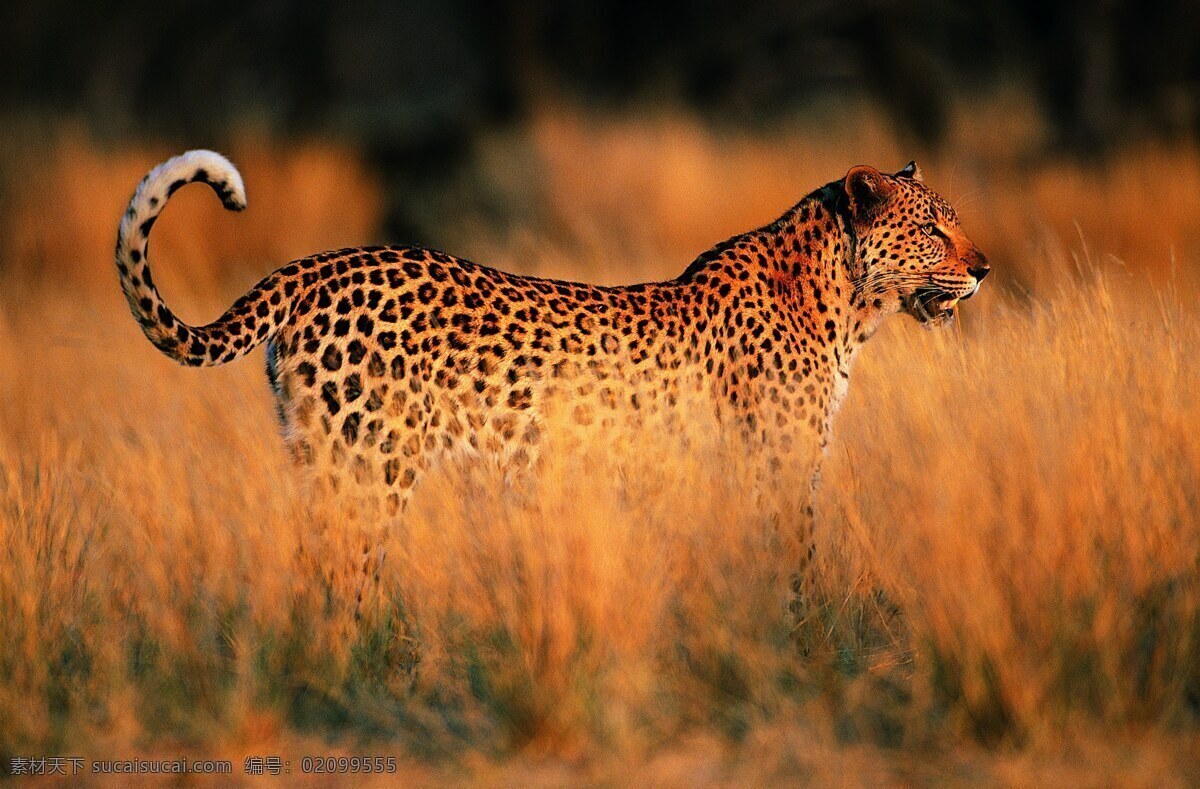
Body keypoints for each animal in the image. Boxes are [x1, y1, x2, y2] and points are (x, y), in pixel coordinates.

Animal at [117, 150, 988, 609]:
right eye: (932, 228)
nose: (983, 267)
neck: (845, 303)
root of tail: (318, 264)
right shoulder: (776, 468)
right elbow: (795, 570)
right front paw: (803, 646)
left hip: (320, 461)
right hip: (371, 467)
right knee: (342, 580)